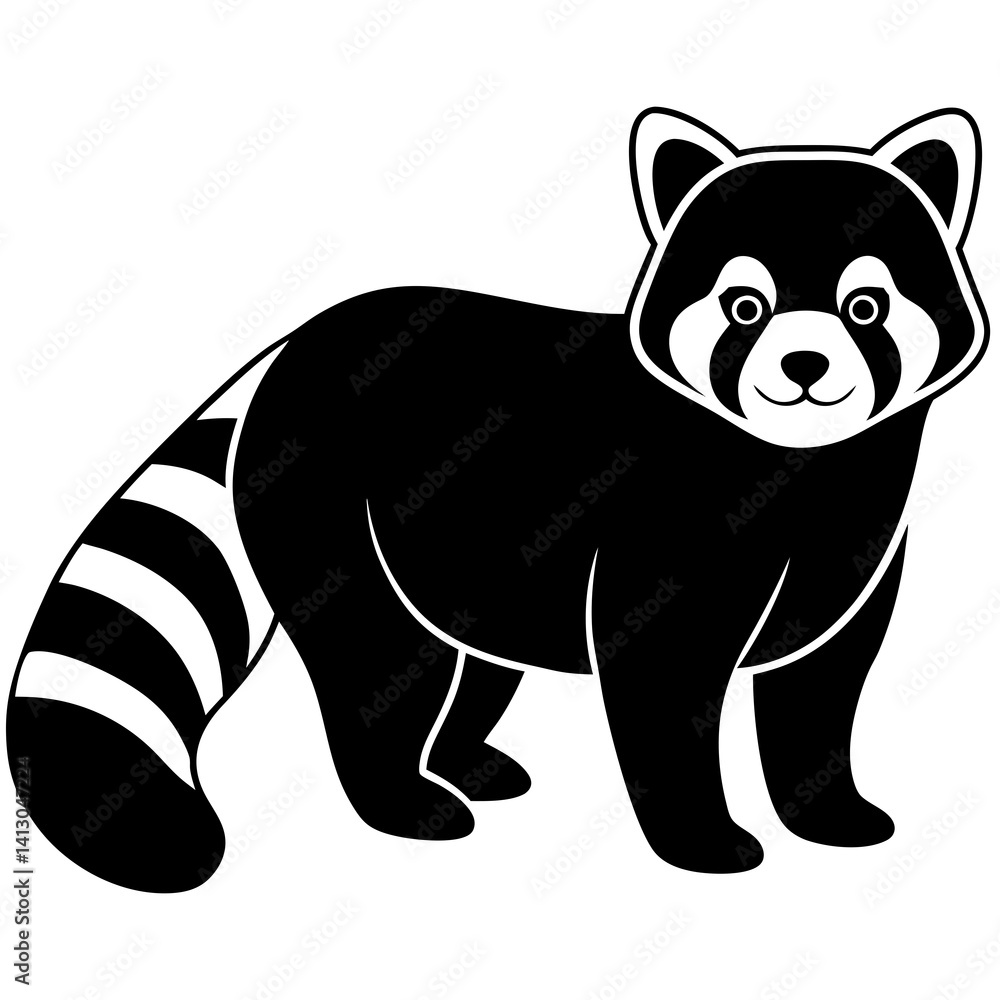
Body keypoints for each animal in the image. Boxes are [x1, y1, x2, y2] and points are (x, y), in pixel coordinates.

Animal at [6, 108, 988, 887]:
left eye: (867, 307)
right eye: (744, 307)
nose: (805, 364)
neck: (808, 464)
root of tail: (293, 345)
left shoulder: (855, 554)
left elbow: (820, 692)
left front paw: (825, 809)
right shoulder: (669, 530)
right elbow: (662, 688)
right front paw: (701, 838)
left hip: (467, 553)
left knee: (473, 658)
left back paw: (465, 758)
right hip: (336, 509)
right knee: (382, 660)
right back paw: (406, 800)